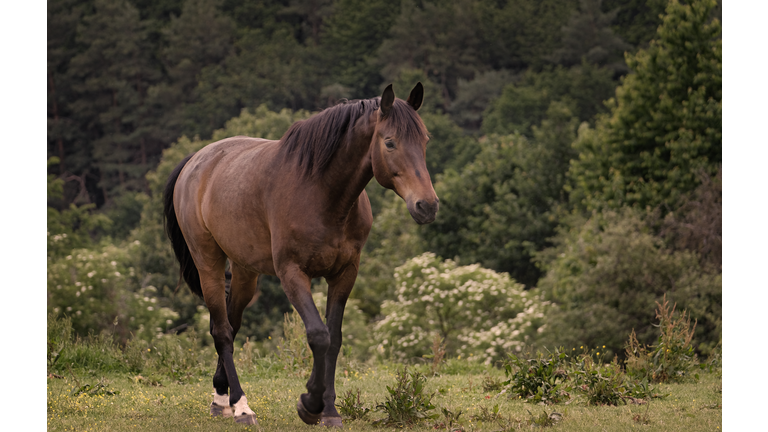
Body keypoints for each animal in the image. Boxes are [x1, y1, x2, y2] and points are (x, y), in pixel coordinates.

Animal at [162, 82, 438, 426]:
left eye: (425, 140)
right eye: (390, 142)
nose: (427, 205)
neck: (320, 193)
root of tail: (196, 161)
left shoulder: (345, 274)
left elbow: (334, 339)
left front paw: (330, 412)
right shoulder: (292, 274)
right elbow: (318, 335)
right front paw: (309, 404)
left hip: (245, 271)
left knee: (231, 324)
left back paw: (220, 398)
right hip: (208, 262)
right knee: (222, 331)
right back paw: (241, 406)